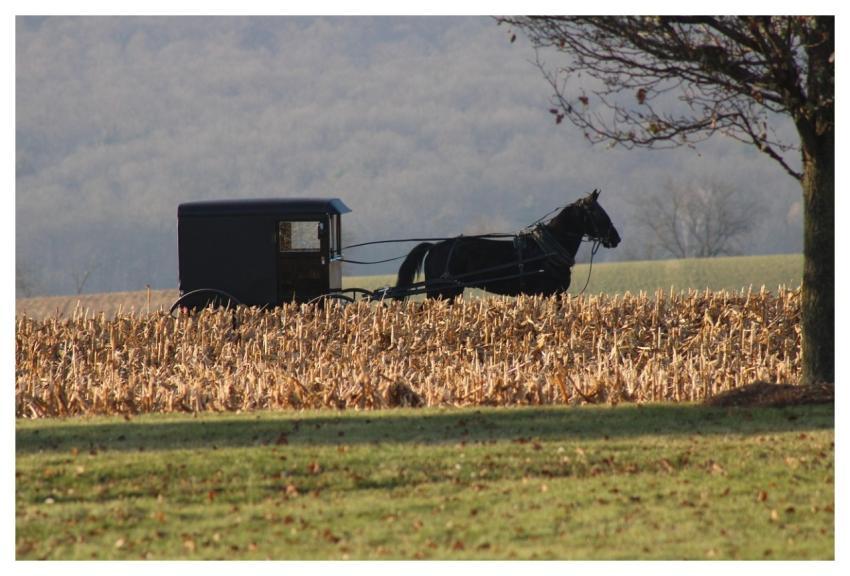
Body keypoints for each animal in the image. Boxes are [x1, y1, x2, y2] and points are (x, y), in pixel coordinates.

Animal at [394, 189, 620, 300]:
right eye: (597, 212)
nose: (616, 238)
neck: (547, 249)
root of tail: (434, 247)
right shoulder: (552, 293)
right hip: (441, 292)